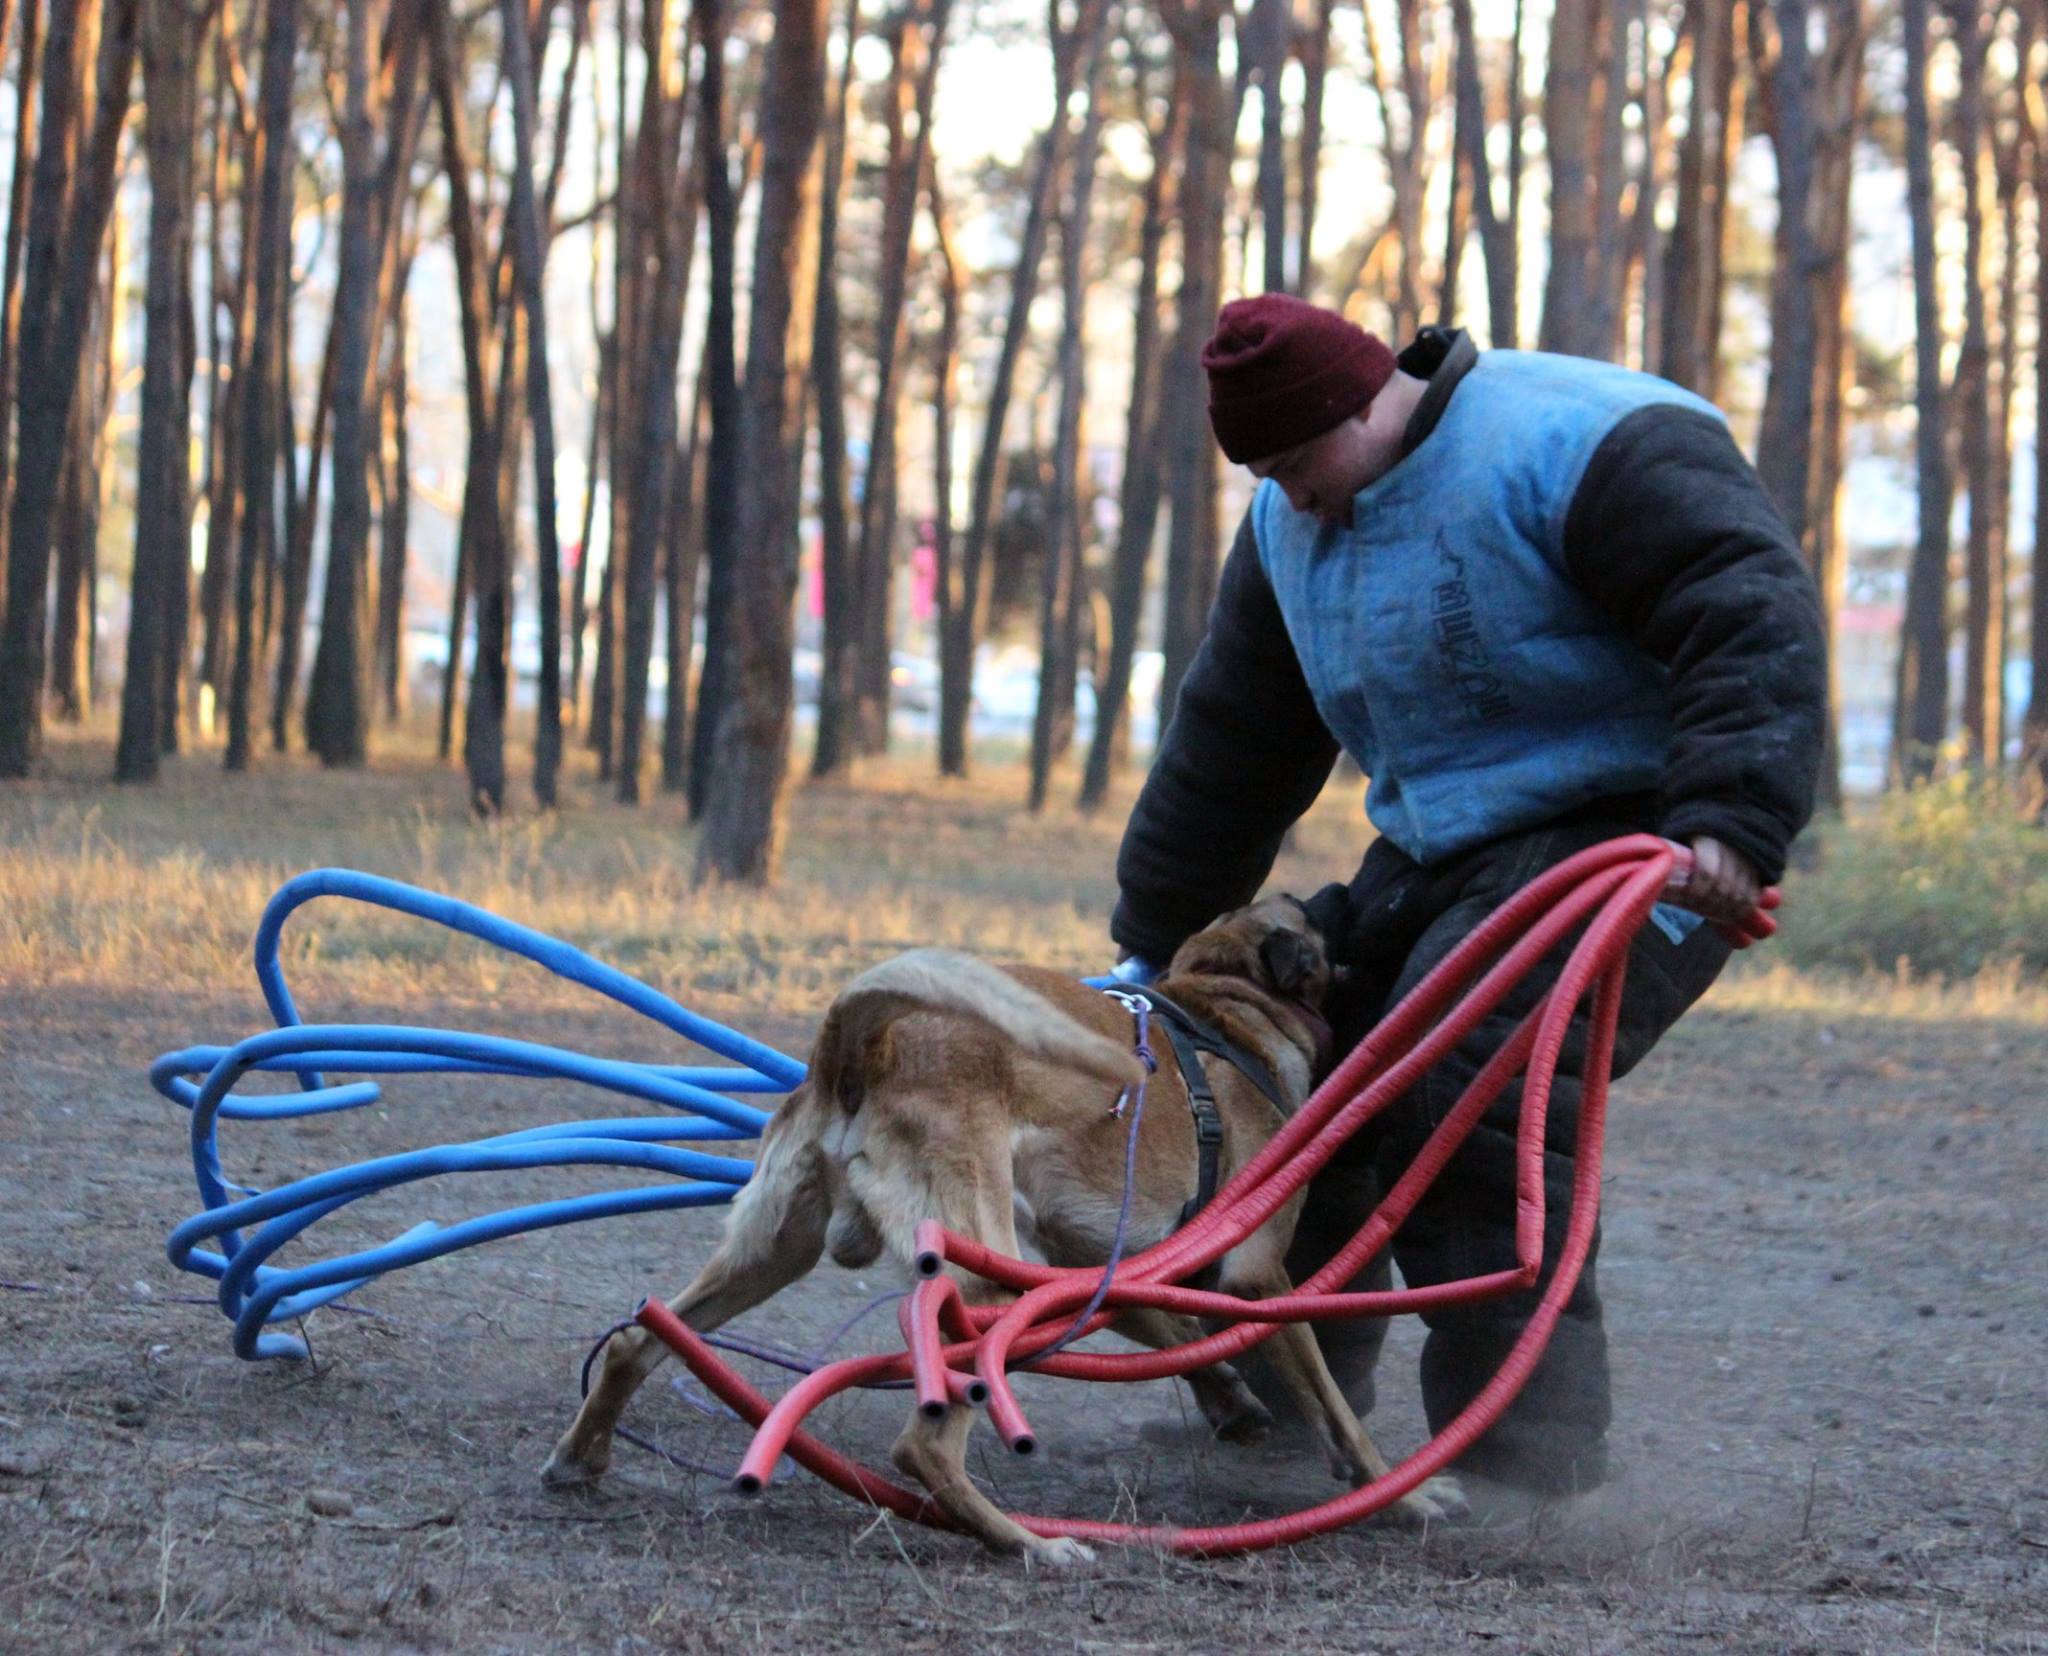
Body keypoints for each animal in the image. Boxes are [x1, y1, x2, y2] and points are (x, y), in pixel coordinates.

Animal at [544, 896, 1458, 1555]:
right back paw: (1029, 1544)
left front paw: (1233, 1403)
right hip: (978, 1282)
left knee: (638, 1340)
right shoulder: (1259, 1276)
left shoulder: (1096, 1268)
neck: (1227, 1008)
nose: (1357, 888)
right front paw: (1402, 1492)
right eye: (1321, 914)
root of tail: (860, 1041)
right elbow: (1332, 1402)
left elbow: (1181, 1333)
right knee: (922, 1448)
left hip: (772, 1252)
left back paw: (579, 1458)